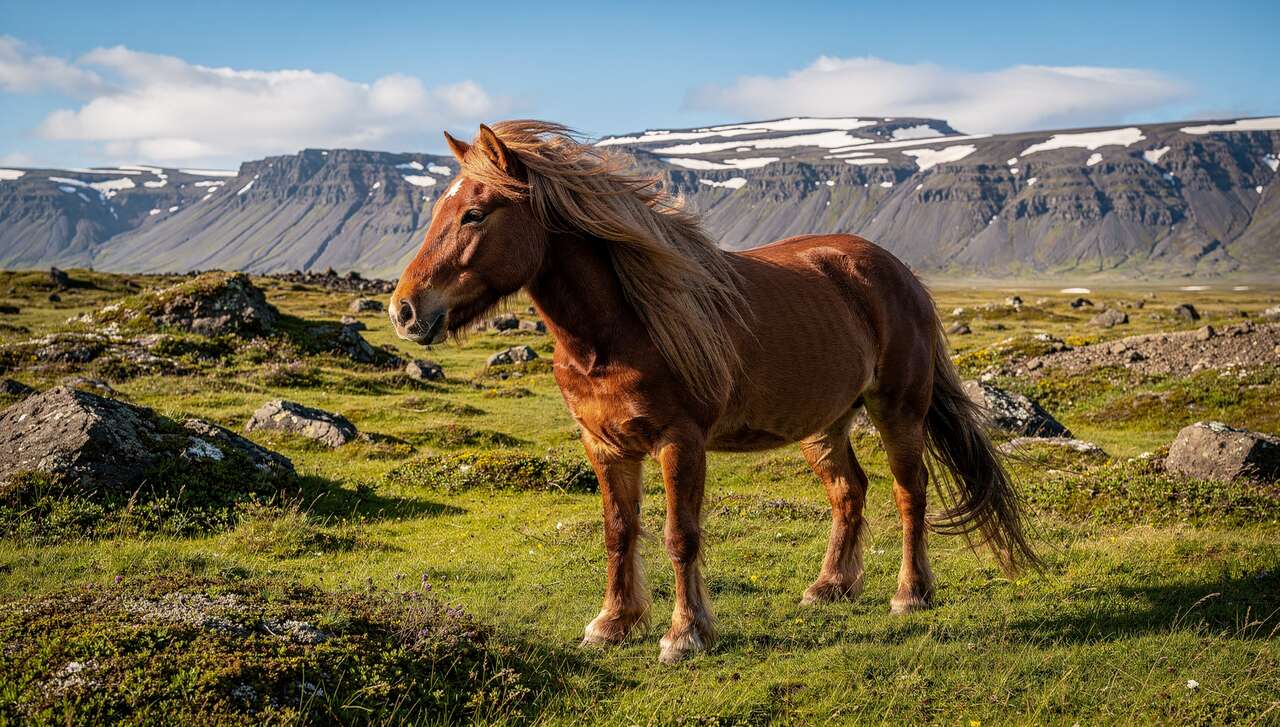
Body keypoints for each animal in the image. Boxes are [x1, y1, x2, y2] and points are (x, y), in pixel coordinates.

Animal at [389, 120, 1040, 664]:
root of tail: (897, 271)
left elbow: (681, 537)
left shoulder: (680, 442)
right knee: (849, 490)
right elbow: (618, 531)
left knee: (910, 492)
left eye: (475, 214)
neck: (617, 330)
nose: (404, 310)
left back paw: (911, 593)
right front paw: (613, 622)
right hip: (824, 422)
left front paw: (685, 634)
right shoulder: (604, 447)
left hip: (897, 409)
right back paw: (830, 586)